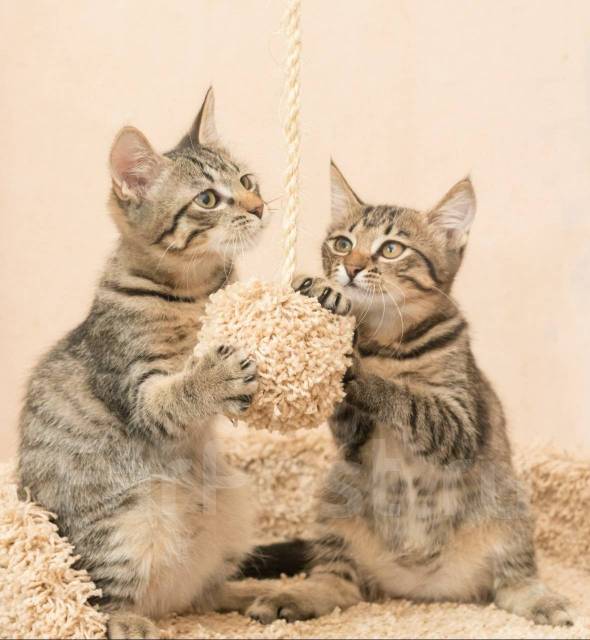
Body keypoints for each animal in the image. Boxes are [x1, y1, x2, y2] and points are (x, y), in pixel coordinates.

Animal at [17, 89, 271, 639]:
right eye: (207, 199)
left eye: (246, 181)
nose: (261, 207)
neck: (192, 290)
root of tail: (166, 603)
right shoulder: (139, 388)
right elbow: (176, 393)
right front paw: (212, 376)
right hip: (130, 524)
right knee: (99, 598)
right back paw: (131, 621)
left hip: (235, 509)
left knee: (209, 593)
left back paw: (259, 595)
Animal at [240, 161, 573, 627]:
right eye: (342, 244)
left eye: (392, 249)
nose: (351, 268)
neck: (387, 341)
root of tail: (419, 589)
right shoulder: (352, 441)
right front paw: (323, 295)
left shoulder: (459, 423)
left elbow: (409, 400)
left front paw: (354, 366)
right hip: (337, 494)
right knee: (338, 583)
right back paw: (293, 597)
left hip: (507, 501)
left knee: (511, 582)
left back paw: (541, 601)